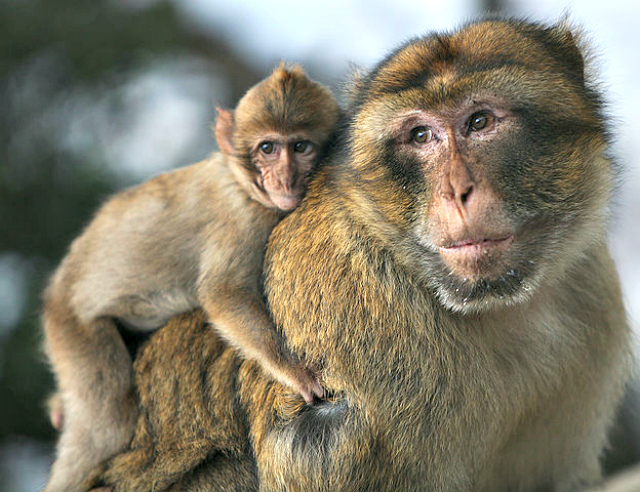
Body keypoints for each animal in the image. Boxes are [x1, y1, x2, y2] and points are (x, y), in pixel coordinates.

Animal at [41, 63, 340, 492]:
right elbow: (222, 294)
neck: (241, 181)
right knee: (106, 425)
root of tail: (58, 286)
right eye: (268, 148)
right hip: (72, 326)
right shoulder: (243, 219)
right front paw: (292, 371)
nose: (284, 178)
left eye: (300, 147)